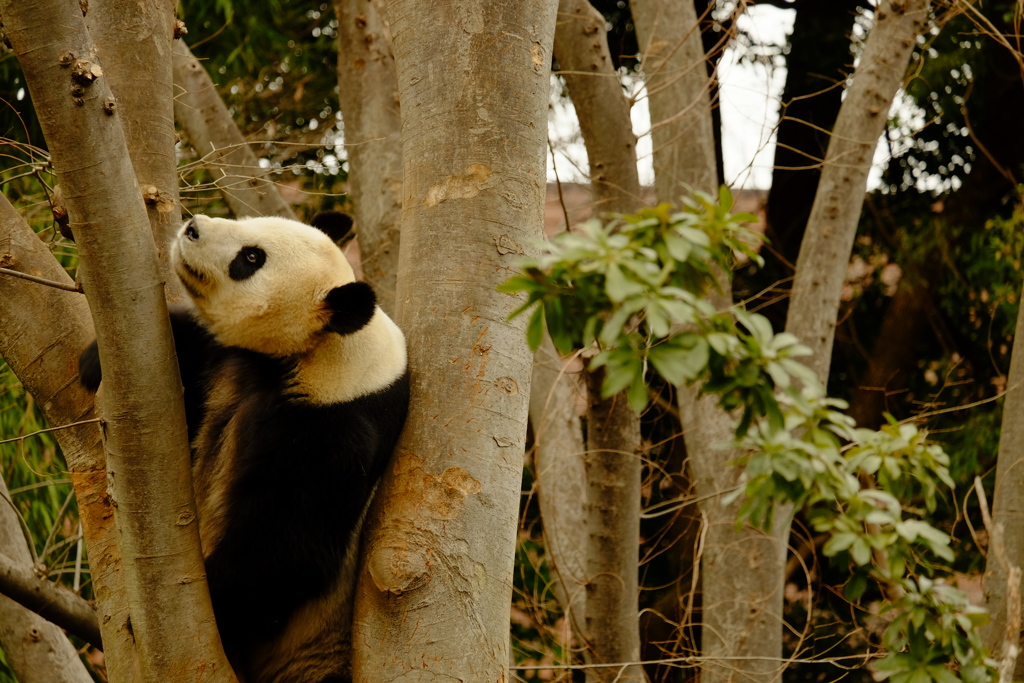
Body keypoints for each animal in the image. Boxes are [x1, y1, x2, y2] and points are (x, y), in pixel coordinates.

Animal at [78, 211, 407, 683]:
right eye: (254, 220)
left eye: (251, 259)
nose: (192, 227)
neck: (326, 352)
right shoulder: (229, 362)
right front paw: (93, 362)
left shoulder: (332, 431)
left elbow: (287, 545)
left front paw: (214, 607)